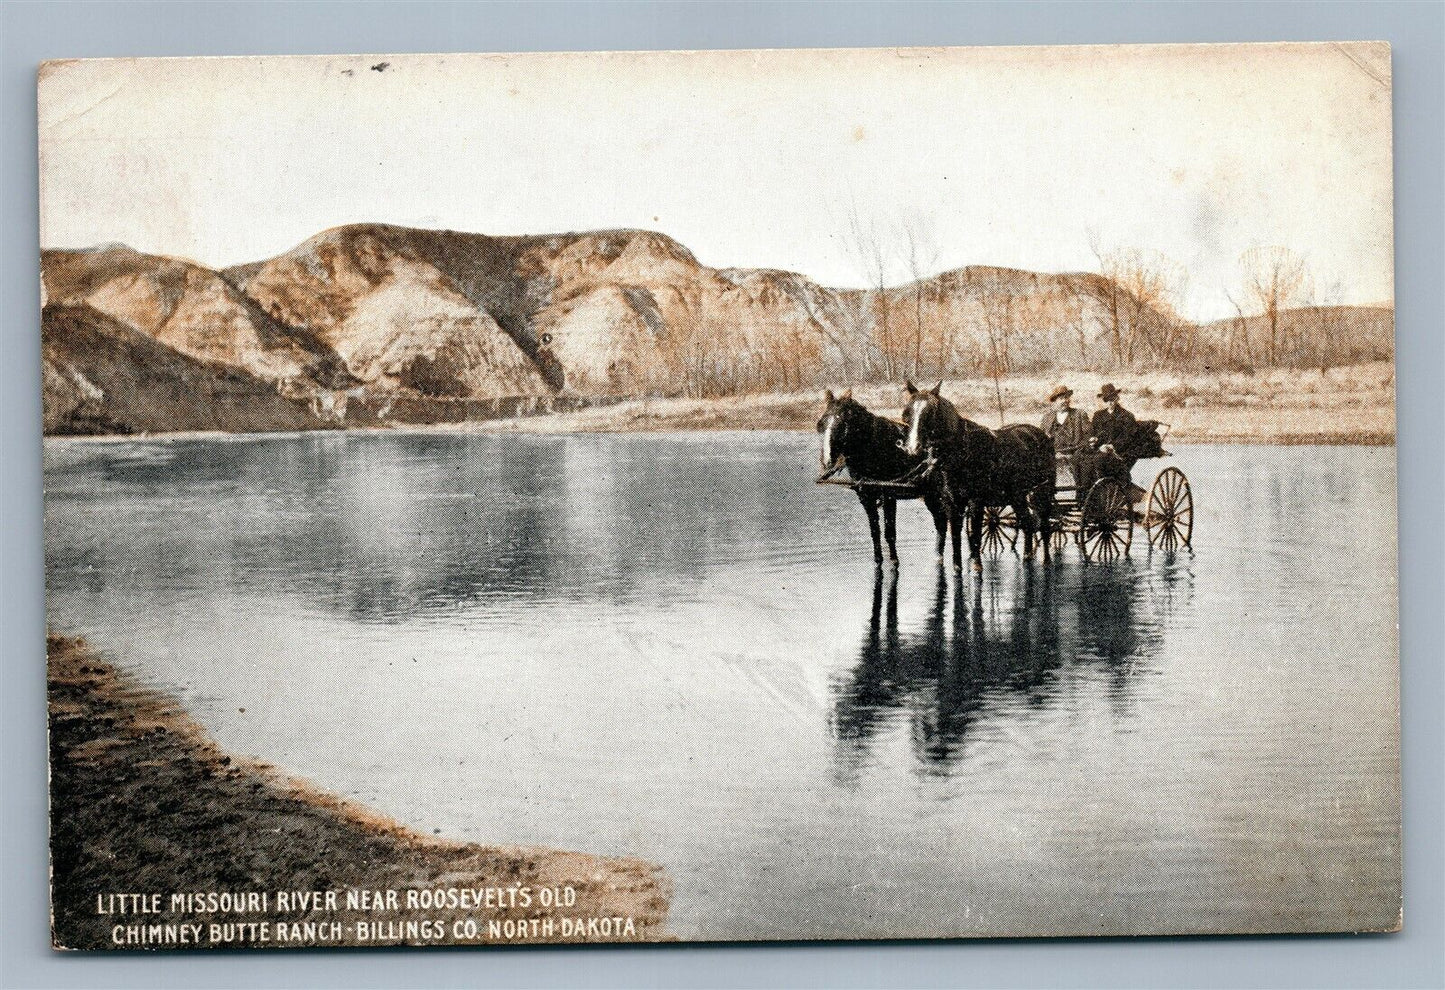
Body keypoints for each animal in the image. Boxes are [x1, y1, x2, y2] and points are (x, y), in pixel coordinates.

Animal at [820, 390, 953, 566]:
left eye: (842, 424)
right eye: (822, 424)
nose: (827, 460)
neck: (874, 448)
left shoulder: (888, 495)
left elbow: (889, 532)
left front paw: (894, 561)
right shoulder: (866, 497)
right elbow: (875, 531)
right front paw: (878, 560)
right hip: (930, 495)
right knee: (941, 523)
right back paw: (938, 556)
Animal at [895, 378, 1057, 566]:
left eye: (931, 412)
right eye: (907, 413)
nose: (913, 448)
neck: (963, 451)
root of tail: (1042, 435)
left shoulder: (976, 502)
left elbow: (975, 536)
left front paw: (976, 565)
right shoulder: (952, 505)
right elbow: (956, 538)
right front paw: (958, 566)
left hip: (1042, 492)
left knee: (1044, 526)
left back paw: (1046, 560)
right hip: (1017, 496)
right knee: (1027, 524)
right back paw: (1027, 557)